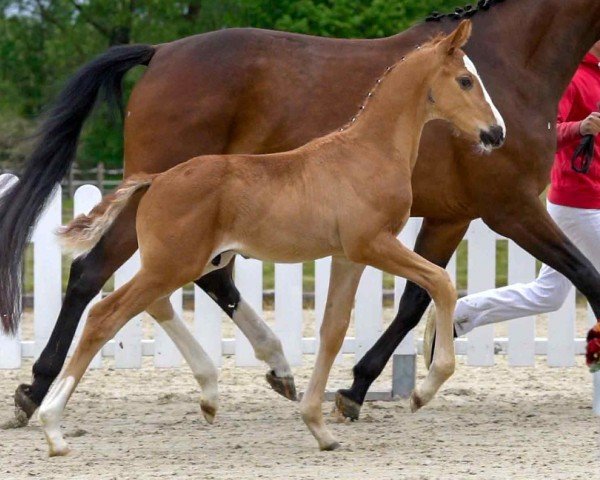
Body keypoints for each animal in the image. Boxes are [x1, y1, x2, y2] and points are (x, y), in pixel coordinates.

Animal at [1, 0, 600, 428]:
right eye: (467, 80)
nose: (494, 134)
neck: (519, 59)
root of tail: (162, 51)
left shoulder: (452, 216)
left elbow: (415, 300)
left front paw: (358, 389)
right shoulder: (510, 208)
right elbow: (585, 275)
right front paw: (373, 389)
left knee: (199, 283)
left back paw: (270, 370)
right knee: (94, 276)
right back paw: (35, 391)